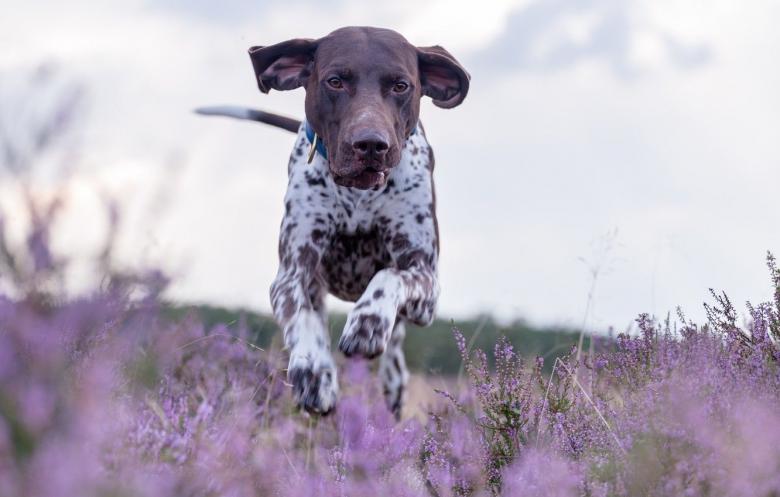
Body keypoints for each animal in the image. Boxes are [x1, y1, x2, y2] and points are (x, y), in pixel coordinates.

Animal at [200, 25, 470, 416]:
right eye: (335, 81)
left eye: (401, 85)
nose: (370, 144)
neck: (358, 194)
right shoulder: (292, 275)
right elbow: (303, 319)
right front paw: (313, 373)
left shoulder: (426, 285)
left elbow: (390, 277)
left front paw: (367, 324)